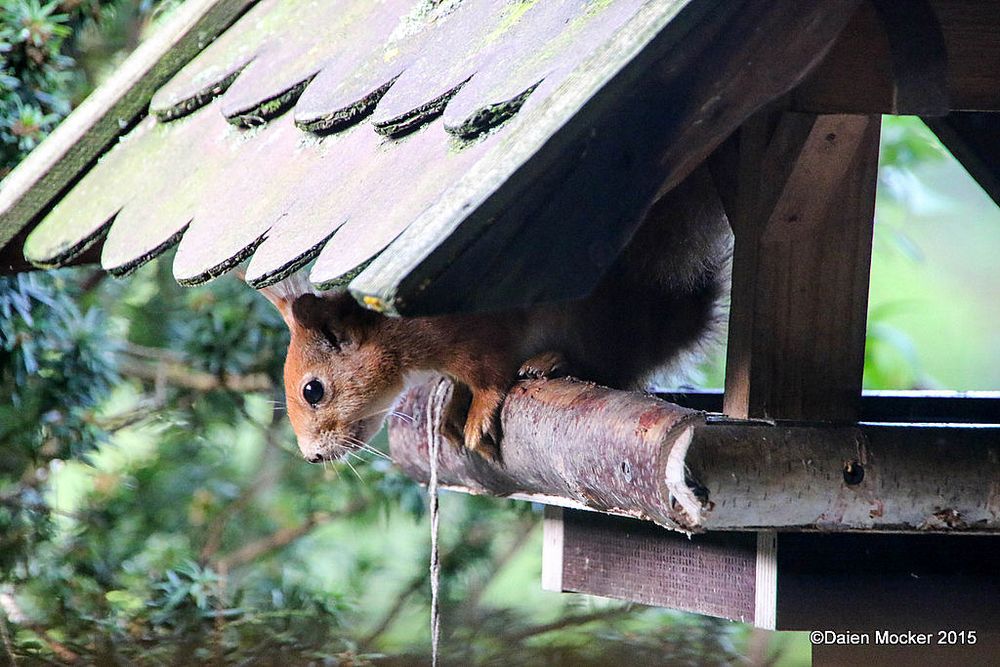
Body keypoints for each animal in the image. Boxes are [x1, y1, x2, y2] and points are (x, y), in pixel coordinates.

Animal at [254, 167, 732, 462]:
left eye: (313, 391)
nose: (312, 456)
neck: (400, 335)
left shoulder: (479, 338)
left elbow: (489, 374)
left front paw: (479, 409)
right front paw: (455, 401)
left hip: (590, 323)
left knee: (611, 368)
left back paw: (551, 361)